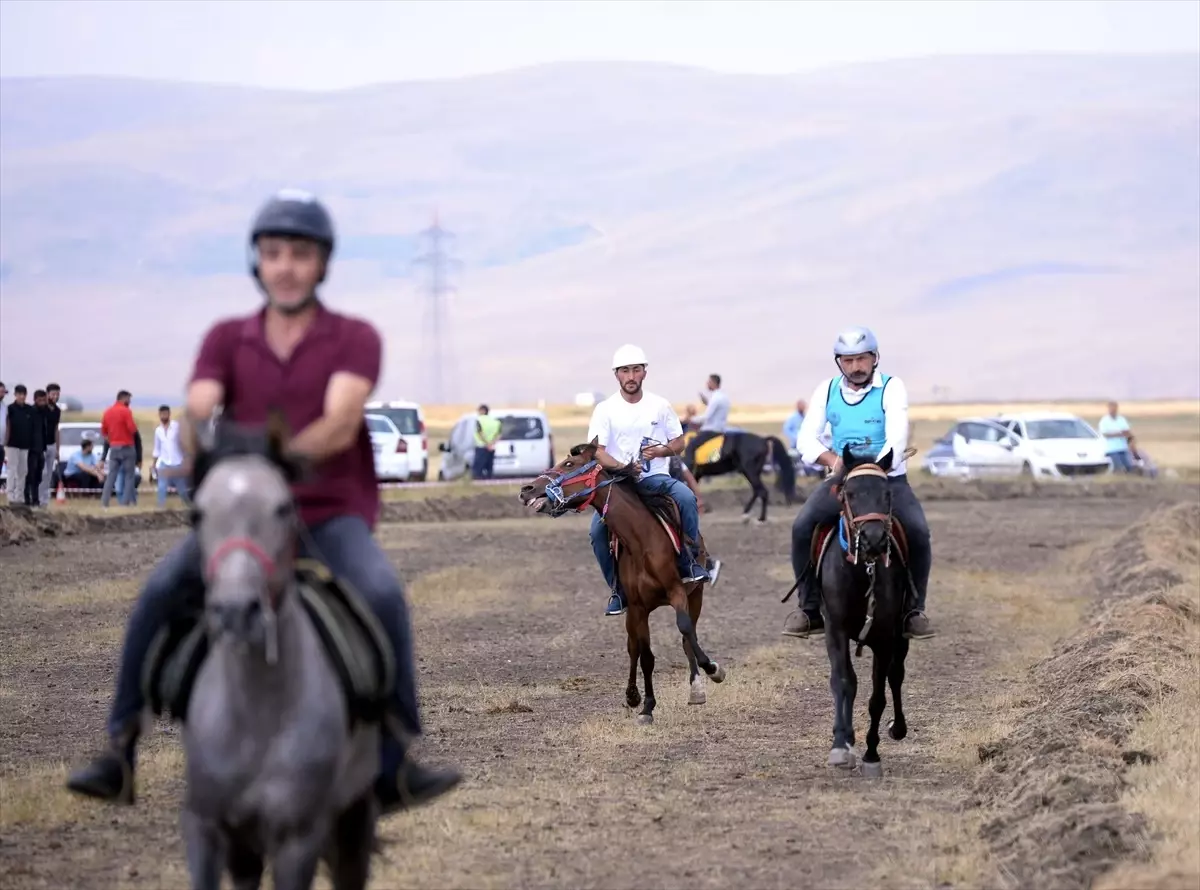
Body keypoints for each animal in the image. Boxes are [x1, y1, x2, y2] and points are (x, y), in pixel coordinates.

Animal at [181, 417, 379, 890]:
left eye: (284, 508)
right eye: (197, 513)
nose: (237, 611)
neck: (256, 714)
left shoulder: (297, 839)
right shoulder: (206, 827)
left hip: (352, 817)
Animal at [518, 439, 724, 724]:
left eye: (569, 464)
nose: (526, 489)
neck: (642, 540)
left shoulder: (678, 593)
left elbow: (684, 631)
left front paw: (712, 669)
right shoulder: (638, 608)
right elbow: (645, 655)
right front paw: (646, 707)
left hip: (696, 594)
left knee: (687, 636)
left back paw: (696, 688)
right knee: (633, 648)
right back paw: (632, 696)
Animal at [816, 448, 907, 777]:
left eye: (887, 494)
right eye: (850, 493)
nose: (874, 539)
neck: (861, 572)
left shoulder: (885, 637)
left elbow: (878, 696)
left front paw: (871, 753)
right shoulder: (836, 629)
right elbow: (843, 681)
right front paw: (841, 745)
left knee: (896, 675)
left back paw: (898, 728)